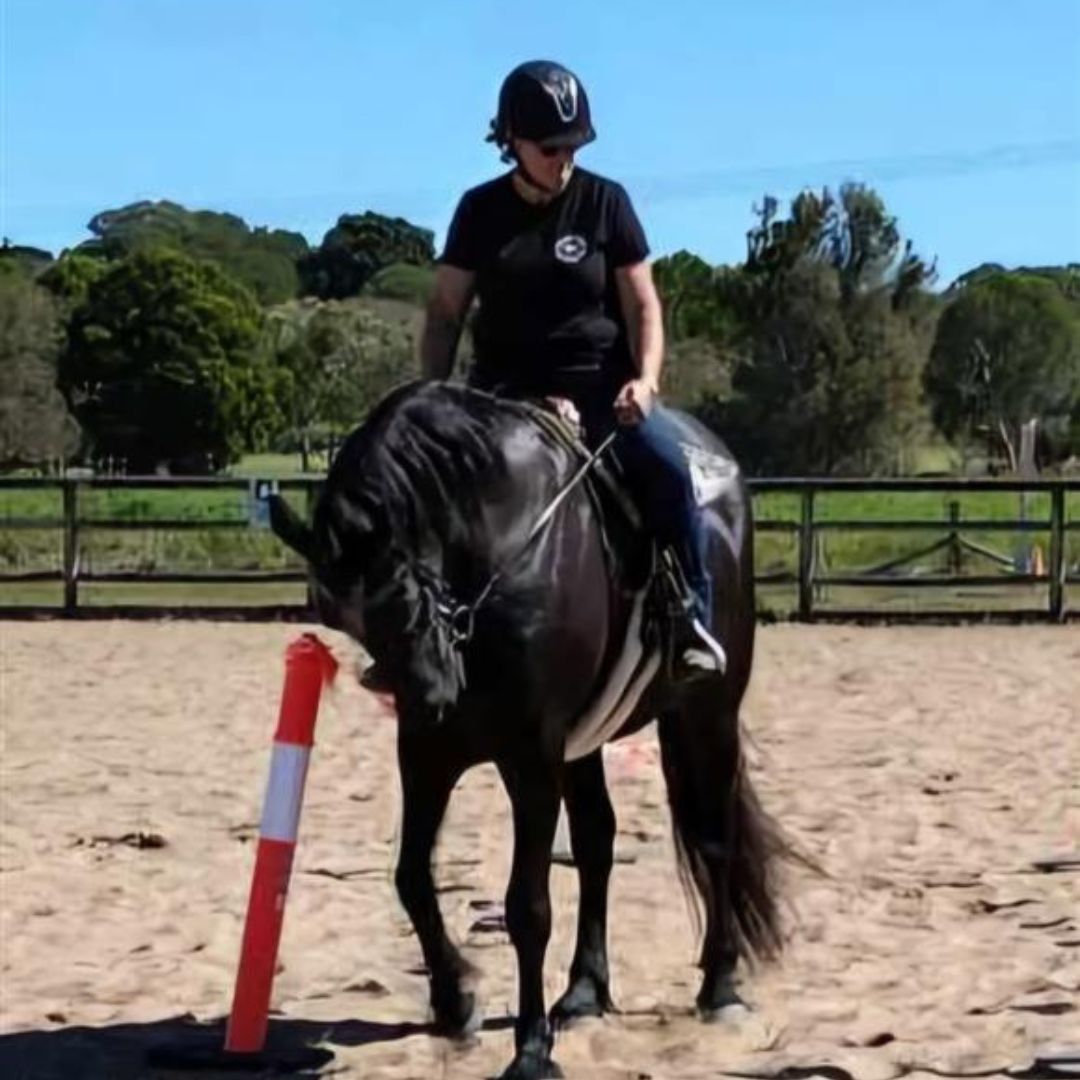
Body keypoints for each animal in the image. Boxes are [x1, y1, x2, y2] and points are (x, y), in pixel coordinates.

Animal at [269, 380, 785, 1080]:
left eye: (402, 582)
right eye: (342, 613)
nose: (430, 694)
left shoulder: (531, 758)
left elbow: (528, 907)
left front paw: (532, 1048)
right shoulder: (427, 754)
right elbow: (411, 876)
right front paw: (455, 999)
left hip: (707, 714)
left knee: (714, 838)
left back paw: (720, 986)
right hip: (585, 742)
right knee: (597, 840)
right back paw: (586, 991)